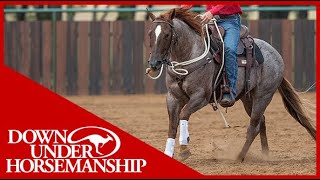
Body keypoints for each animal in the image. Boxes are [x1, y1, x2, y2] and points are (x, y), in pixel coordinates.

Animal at [146, 7, 316, 162]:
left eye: (167, 34)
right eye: (150, 34)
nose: (154, 63)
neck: (189, 56)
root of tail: (277, 55)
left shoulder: (200, 97)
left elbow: (184, 114)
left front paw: (184, 150)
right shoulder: (172, 98)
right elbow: (172, 125)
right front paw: (169, 153)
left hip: (264, 96)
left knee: (254, 126)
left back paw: (240, 157)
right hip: (248, 98)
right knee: (261, 121)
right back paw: (265, 155)